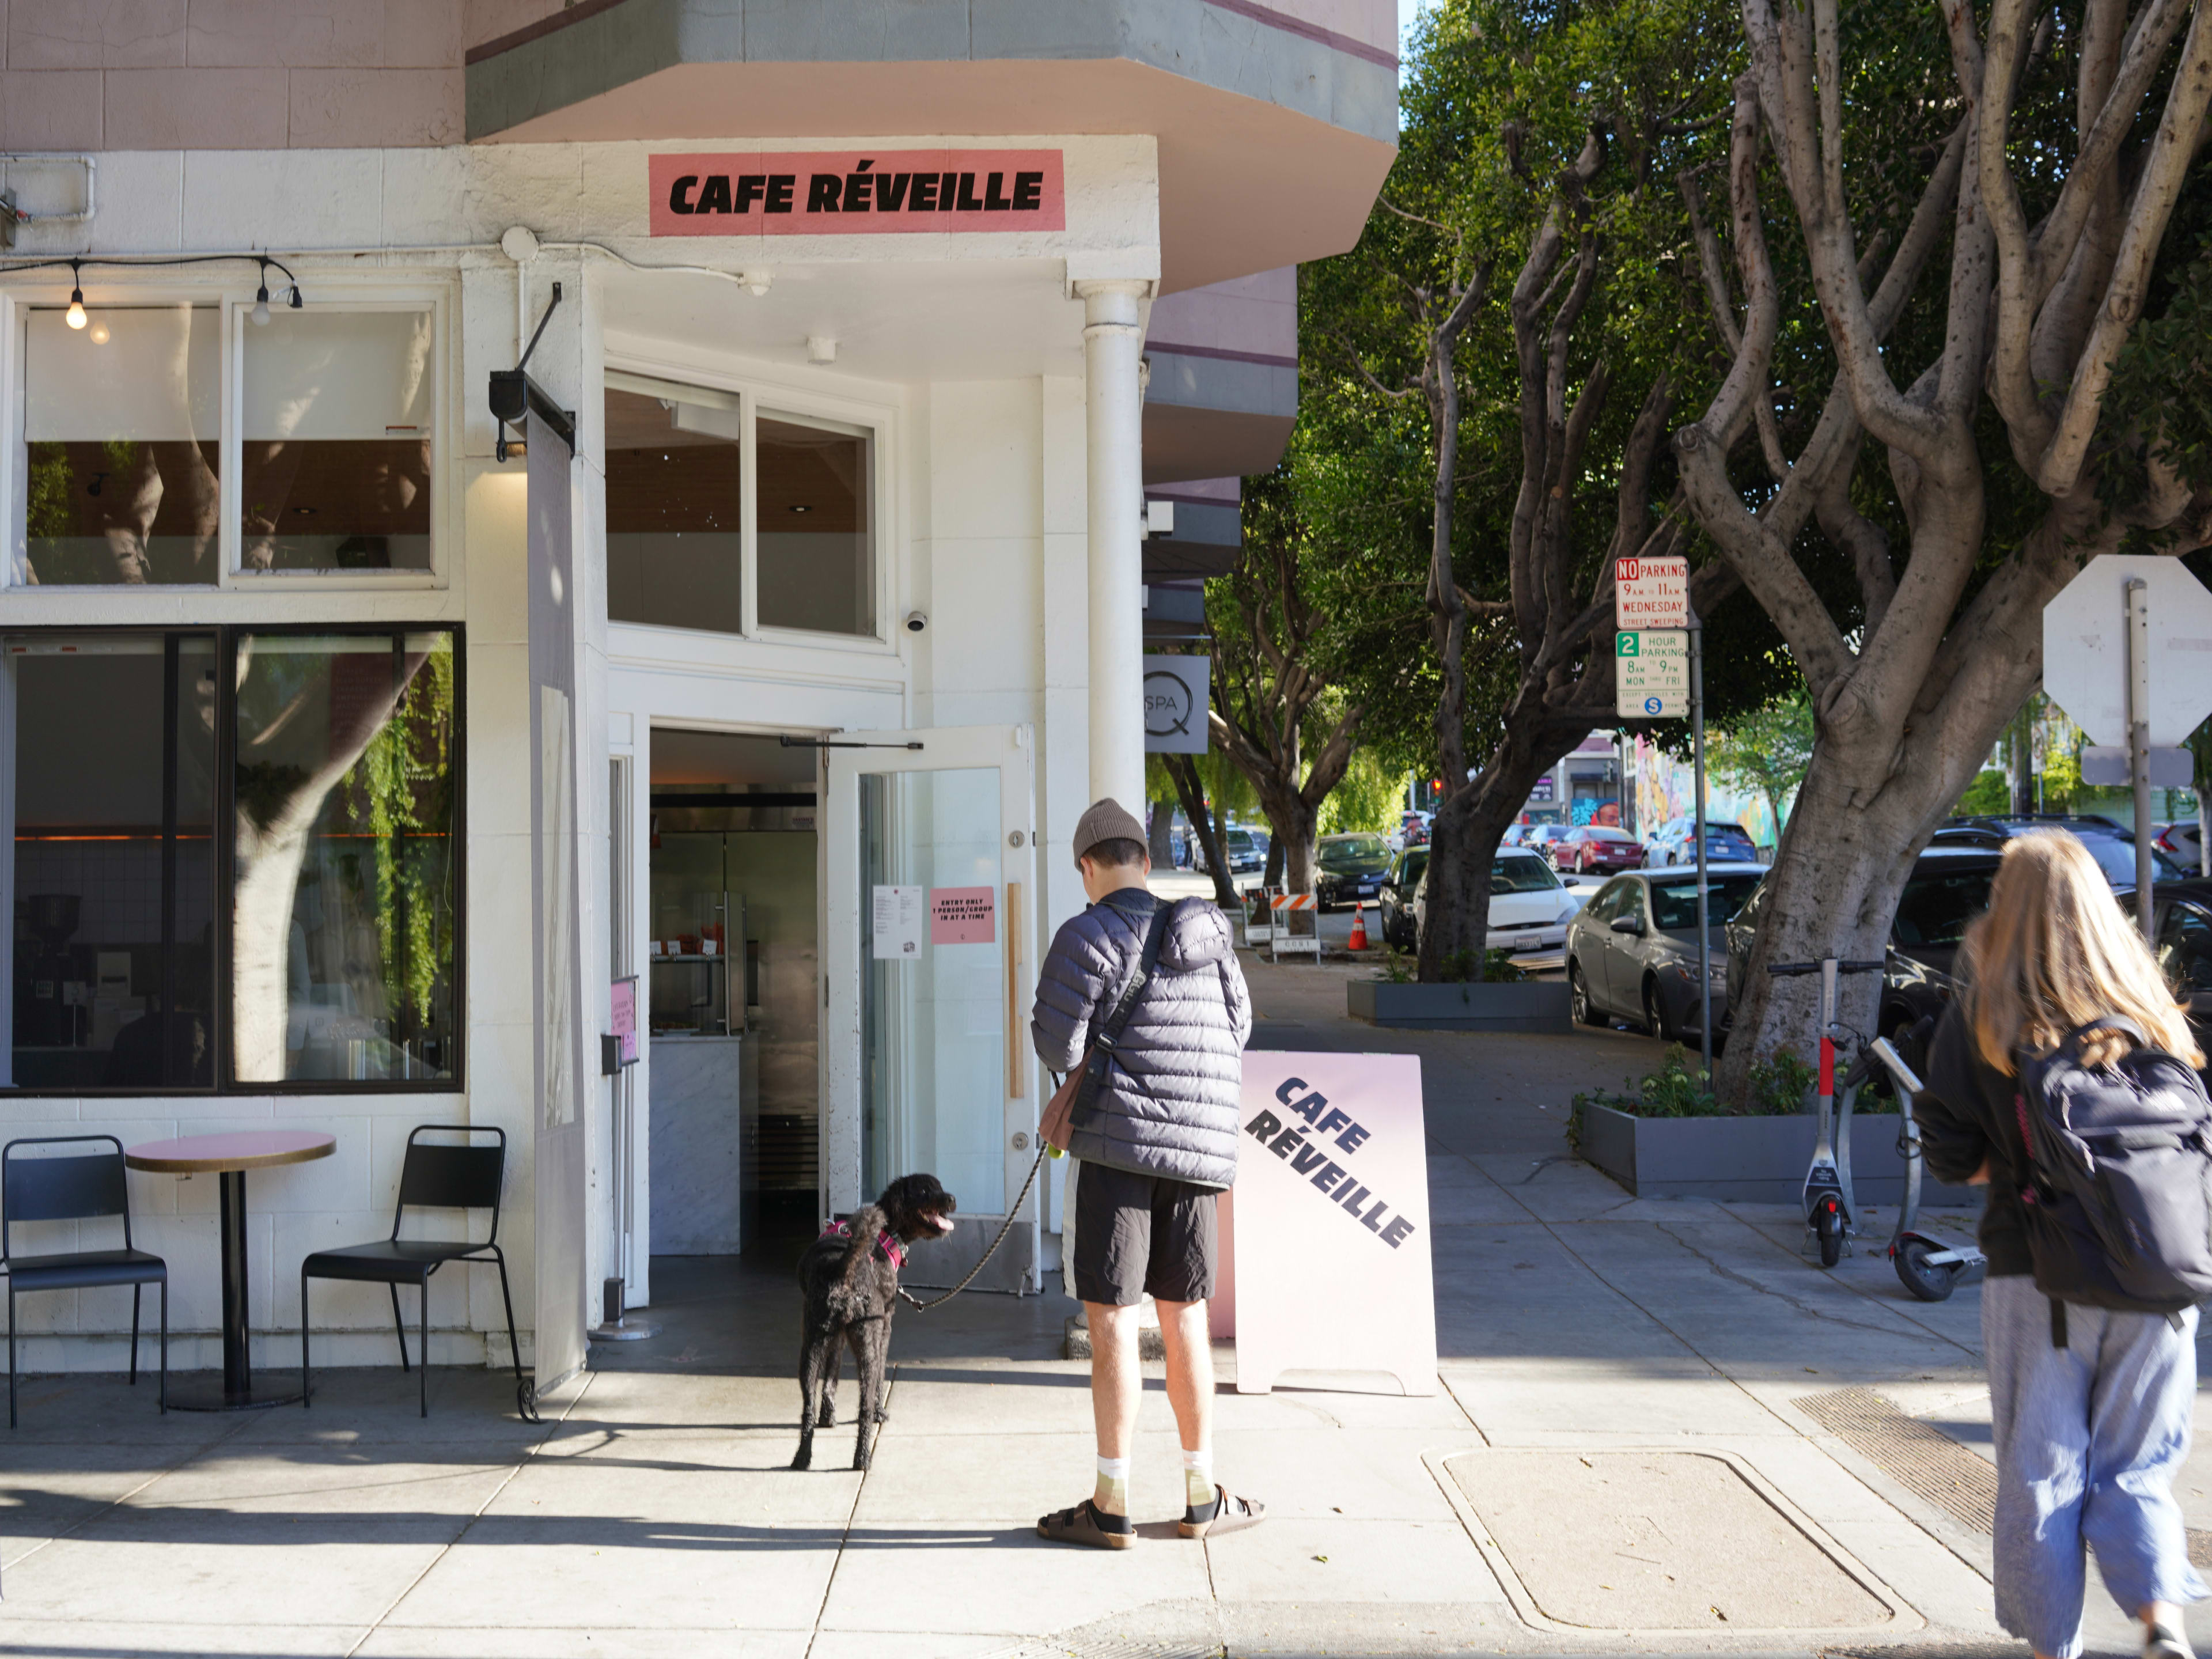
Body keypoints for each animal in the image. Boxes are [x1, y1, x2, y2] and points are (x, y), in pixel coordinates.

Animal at [791, 1176, 955, 1478]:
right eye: (924, 1190)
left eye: (939, 1187)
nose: (952, 1199)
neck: (887, 1234)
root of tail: (843, 1268)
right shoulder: (885, 1325)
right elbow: (880, 1375)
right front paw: (880, 1411)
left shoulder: (836, 1337)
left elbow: (831, 1378)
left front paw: (828, 1417)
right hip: (866, 1340)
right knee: (865, 1404)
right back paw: (863, 1458)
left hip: (811, 1345)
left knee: (807, 1404)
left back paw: (802, 1458)